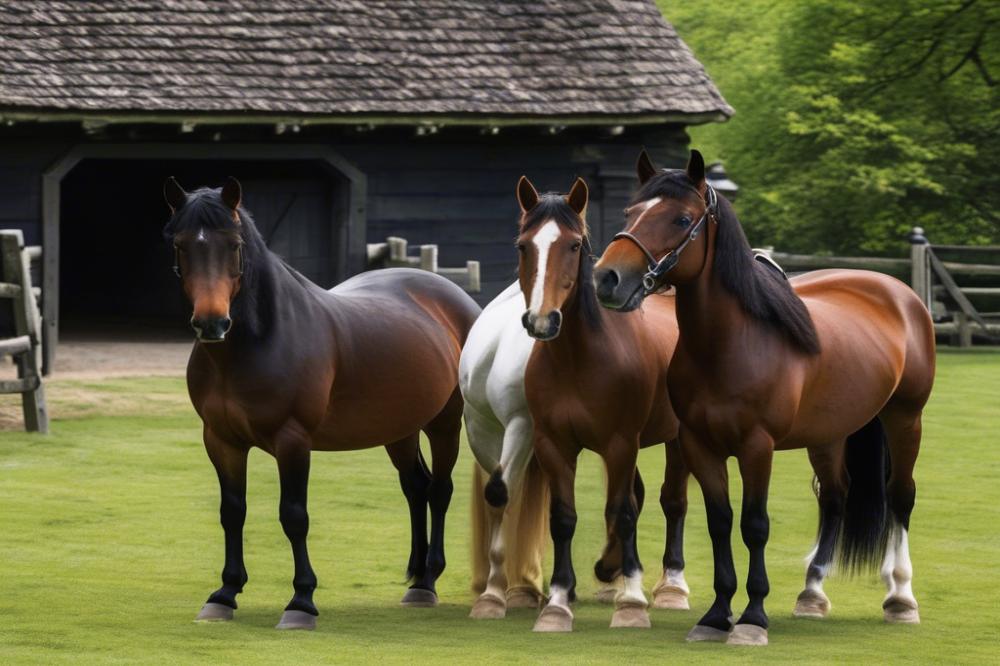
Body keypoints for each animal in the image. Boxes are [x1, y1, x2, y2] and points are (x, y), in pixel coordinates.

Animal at [162, 176, 482, 628]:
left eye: (234, 243)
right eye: (181, 243)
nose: (212, 323)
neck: (259, 341)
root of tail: (455, 296)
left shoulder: (293, 441)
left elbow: (294, 516)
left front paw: (301, 601)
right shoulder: (221, 440)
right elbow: (232, 511)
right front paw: (224, 594)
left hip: (444, 423)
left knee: (439, 490)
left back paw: (427, 581)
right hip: (398, 429)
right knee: (415, 487)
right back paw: (418, 576)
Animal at [512, 174, 692, 632]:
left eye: (574, 245)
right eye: (523, 246)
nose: (542, 321)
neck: (580, 359)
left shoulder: (620, 444)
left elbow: (623, 511)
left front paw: (631, 601)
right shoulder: (555, 446)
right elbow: (564, 517)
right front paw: (559, 599)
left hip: (677, 440)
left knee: (672, 501)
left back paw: (670, 587)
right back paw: (610, 568)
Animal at [588, 150, 932, 644]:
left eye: (681, 218)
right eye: (630, 212)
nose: (607, 278)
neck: (731, 345)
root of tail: (899, 292)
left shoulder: (757, 447)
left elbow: (754, 525)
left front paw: (752, 617)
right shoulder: (699, 445)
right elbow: (719, 522)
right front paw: (716, 615)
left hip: (906, 418)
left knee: (900, 496)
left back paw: (901, 598)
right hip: (828, 434)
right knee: (835, 497)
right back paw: (811, 593)